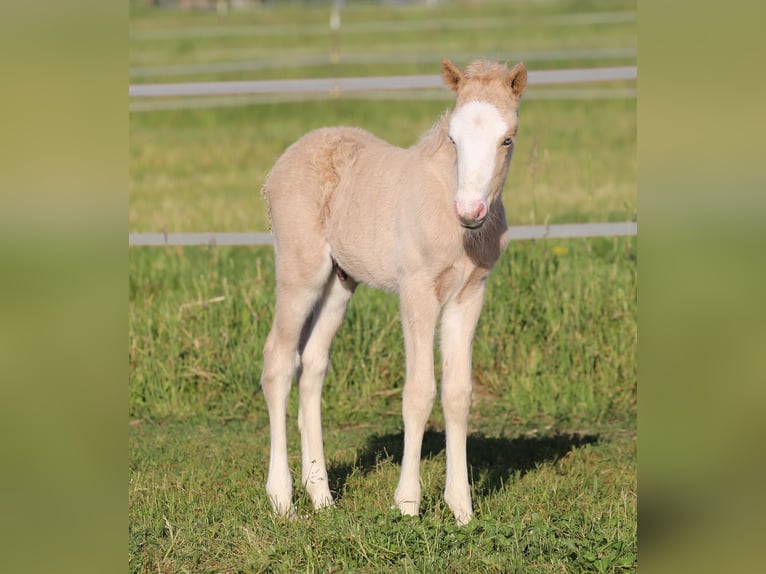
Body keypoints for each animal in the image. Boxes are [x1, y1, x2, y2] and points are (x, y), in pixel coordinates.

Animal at [260, 58, 527, 525]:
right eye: (453, 138)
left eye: (507, 138)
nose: (470, 211)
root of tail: (286, 159)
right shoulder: (416, 290)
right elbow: (419, 392)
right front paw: (407, 504)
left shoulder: (468, 296)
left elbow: (458, 393)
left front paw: (461, 508)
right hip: (301, 272)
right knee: (278, 360)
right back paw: (282, 500)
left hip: (338, 282)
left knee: (312, 365)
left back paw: (321, 495)